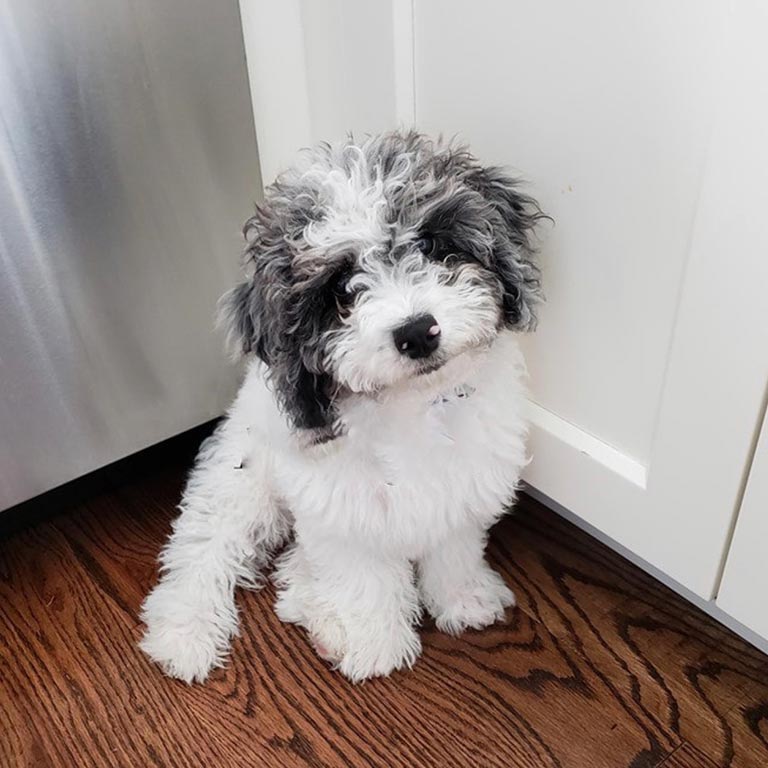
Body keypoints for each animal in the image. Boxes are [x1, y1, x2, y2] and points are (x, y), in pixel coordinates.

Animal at [138, 130, 544, 684]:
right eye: (340, 289)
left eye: (431, 245)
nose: (418, 332)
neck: (408, 407)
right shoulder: (342, 511)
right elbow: (363, 578)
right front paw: (375, 643)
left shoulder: (462, 486)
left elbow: (453, 548)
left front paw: (464, 600)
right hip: (240, 482)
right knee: (204, 548)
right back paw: (185, 633)